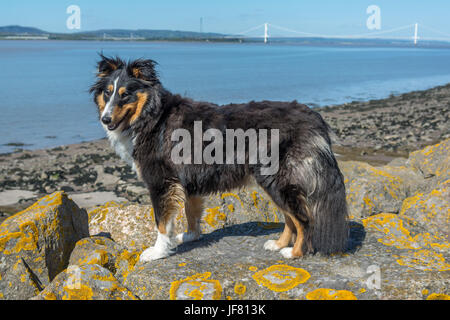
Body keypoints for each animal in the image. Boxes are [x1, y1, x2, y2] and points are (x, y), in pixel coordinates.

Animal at [89, 53, 348, 262]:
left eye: (125, 95)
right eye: (107, 93)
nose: (105, 119)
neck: (151, 116)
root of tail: (314, 118)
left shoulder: (161, 182)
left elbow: (162, 222)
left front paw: (157, 252)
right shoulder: (187, 180)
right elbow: (191, 212)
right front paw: (190, 236)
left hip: (277, 178)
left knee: (304, 218)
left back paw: (294, 253)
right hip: (271, 180)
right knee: (290, 217)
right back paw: (278, 244)